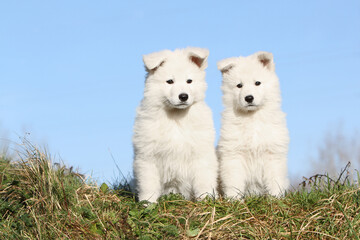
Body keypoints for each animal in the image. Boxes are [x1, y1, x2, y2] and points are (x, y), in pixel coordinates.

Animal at [132, 47, 217, 202]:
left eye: (189, 81)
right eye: (170, 81)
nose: (183, 96)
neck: (177, 118)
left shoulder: (201, 154)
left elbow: (204, 180)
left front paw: (207, 200)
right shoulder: (147, 156)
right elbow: (149, 184)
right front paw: (147, 203)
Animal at [217, 51, 290, 198]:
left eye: (257, 83)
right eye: (239, 85)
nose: (249, 98)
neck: (252, 118)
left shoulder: (273, 154)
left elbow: (274, 180)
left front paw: (276, 198)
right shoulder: (233, 154)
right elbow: (234, 181)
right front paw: (233, 199)